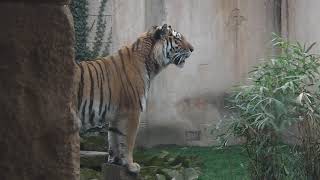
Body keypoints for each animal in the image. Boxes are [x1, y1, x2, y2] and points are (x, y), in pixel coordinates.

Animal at [74, 23, 194, 173]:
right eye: (178, 39)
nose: (193, 49)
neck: (151, 63)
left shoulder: (115, 115)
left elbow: (114, 140)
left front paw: (115, 161)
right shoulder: (132, 110)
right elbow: (128, 141)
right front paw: (131, 165)